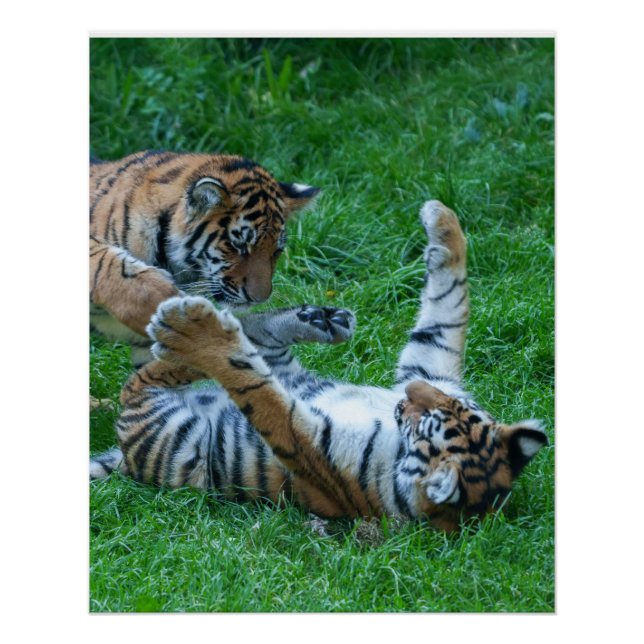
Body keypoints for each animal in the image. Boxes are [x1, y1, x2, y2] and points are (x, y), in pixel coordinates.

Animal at [90, 200, 548, 532]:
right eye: (440, 405)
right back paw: (320, 320)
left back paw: (182, 324)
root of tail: (126, 457)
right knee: (257, 337)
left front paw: (200, 336)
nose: (406, 396)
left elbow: (257, 391)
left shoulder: (309, 450)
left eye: (426, 420)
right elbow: (448, 308)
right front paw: (442, 219)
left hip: (158, 417)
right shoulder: (433, 368)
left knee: (158, 374)